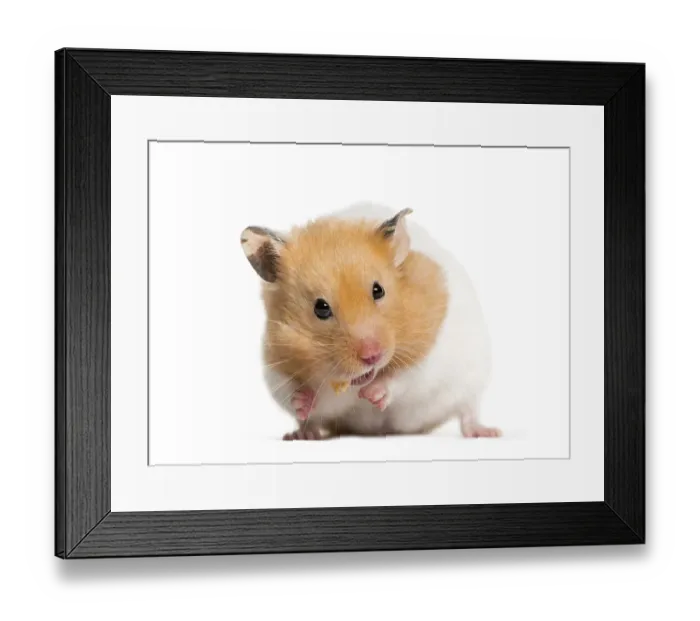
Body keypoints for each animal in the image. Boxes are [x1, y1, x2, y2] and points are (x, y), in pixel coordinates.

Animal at [240, 201, 500, 441]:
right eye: (320, 308)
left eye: (378, 290)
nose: (372, 356)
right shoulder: (275, 364)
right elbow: (294, 392)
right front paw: (303, 401)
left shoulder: (431, 354)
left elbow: (404, 376)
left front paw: (373, 395)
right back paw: (302, 434)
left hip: (471, 380)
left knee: (468, 410)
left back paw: (487, 432)